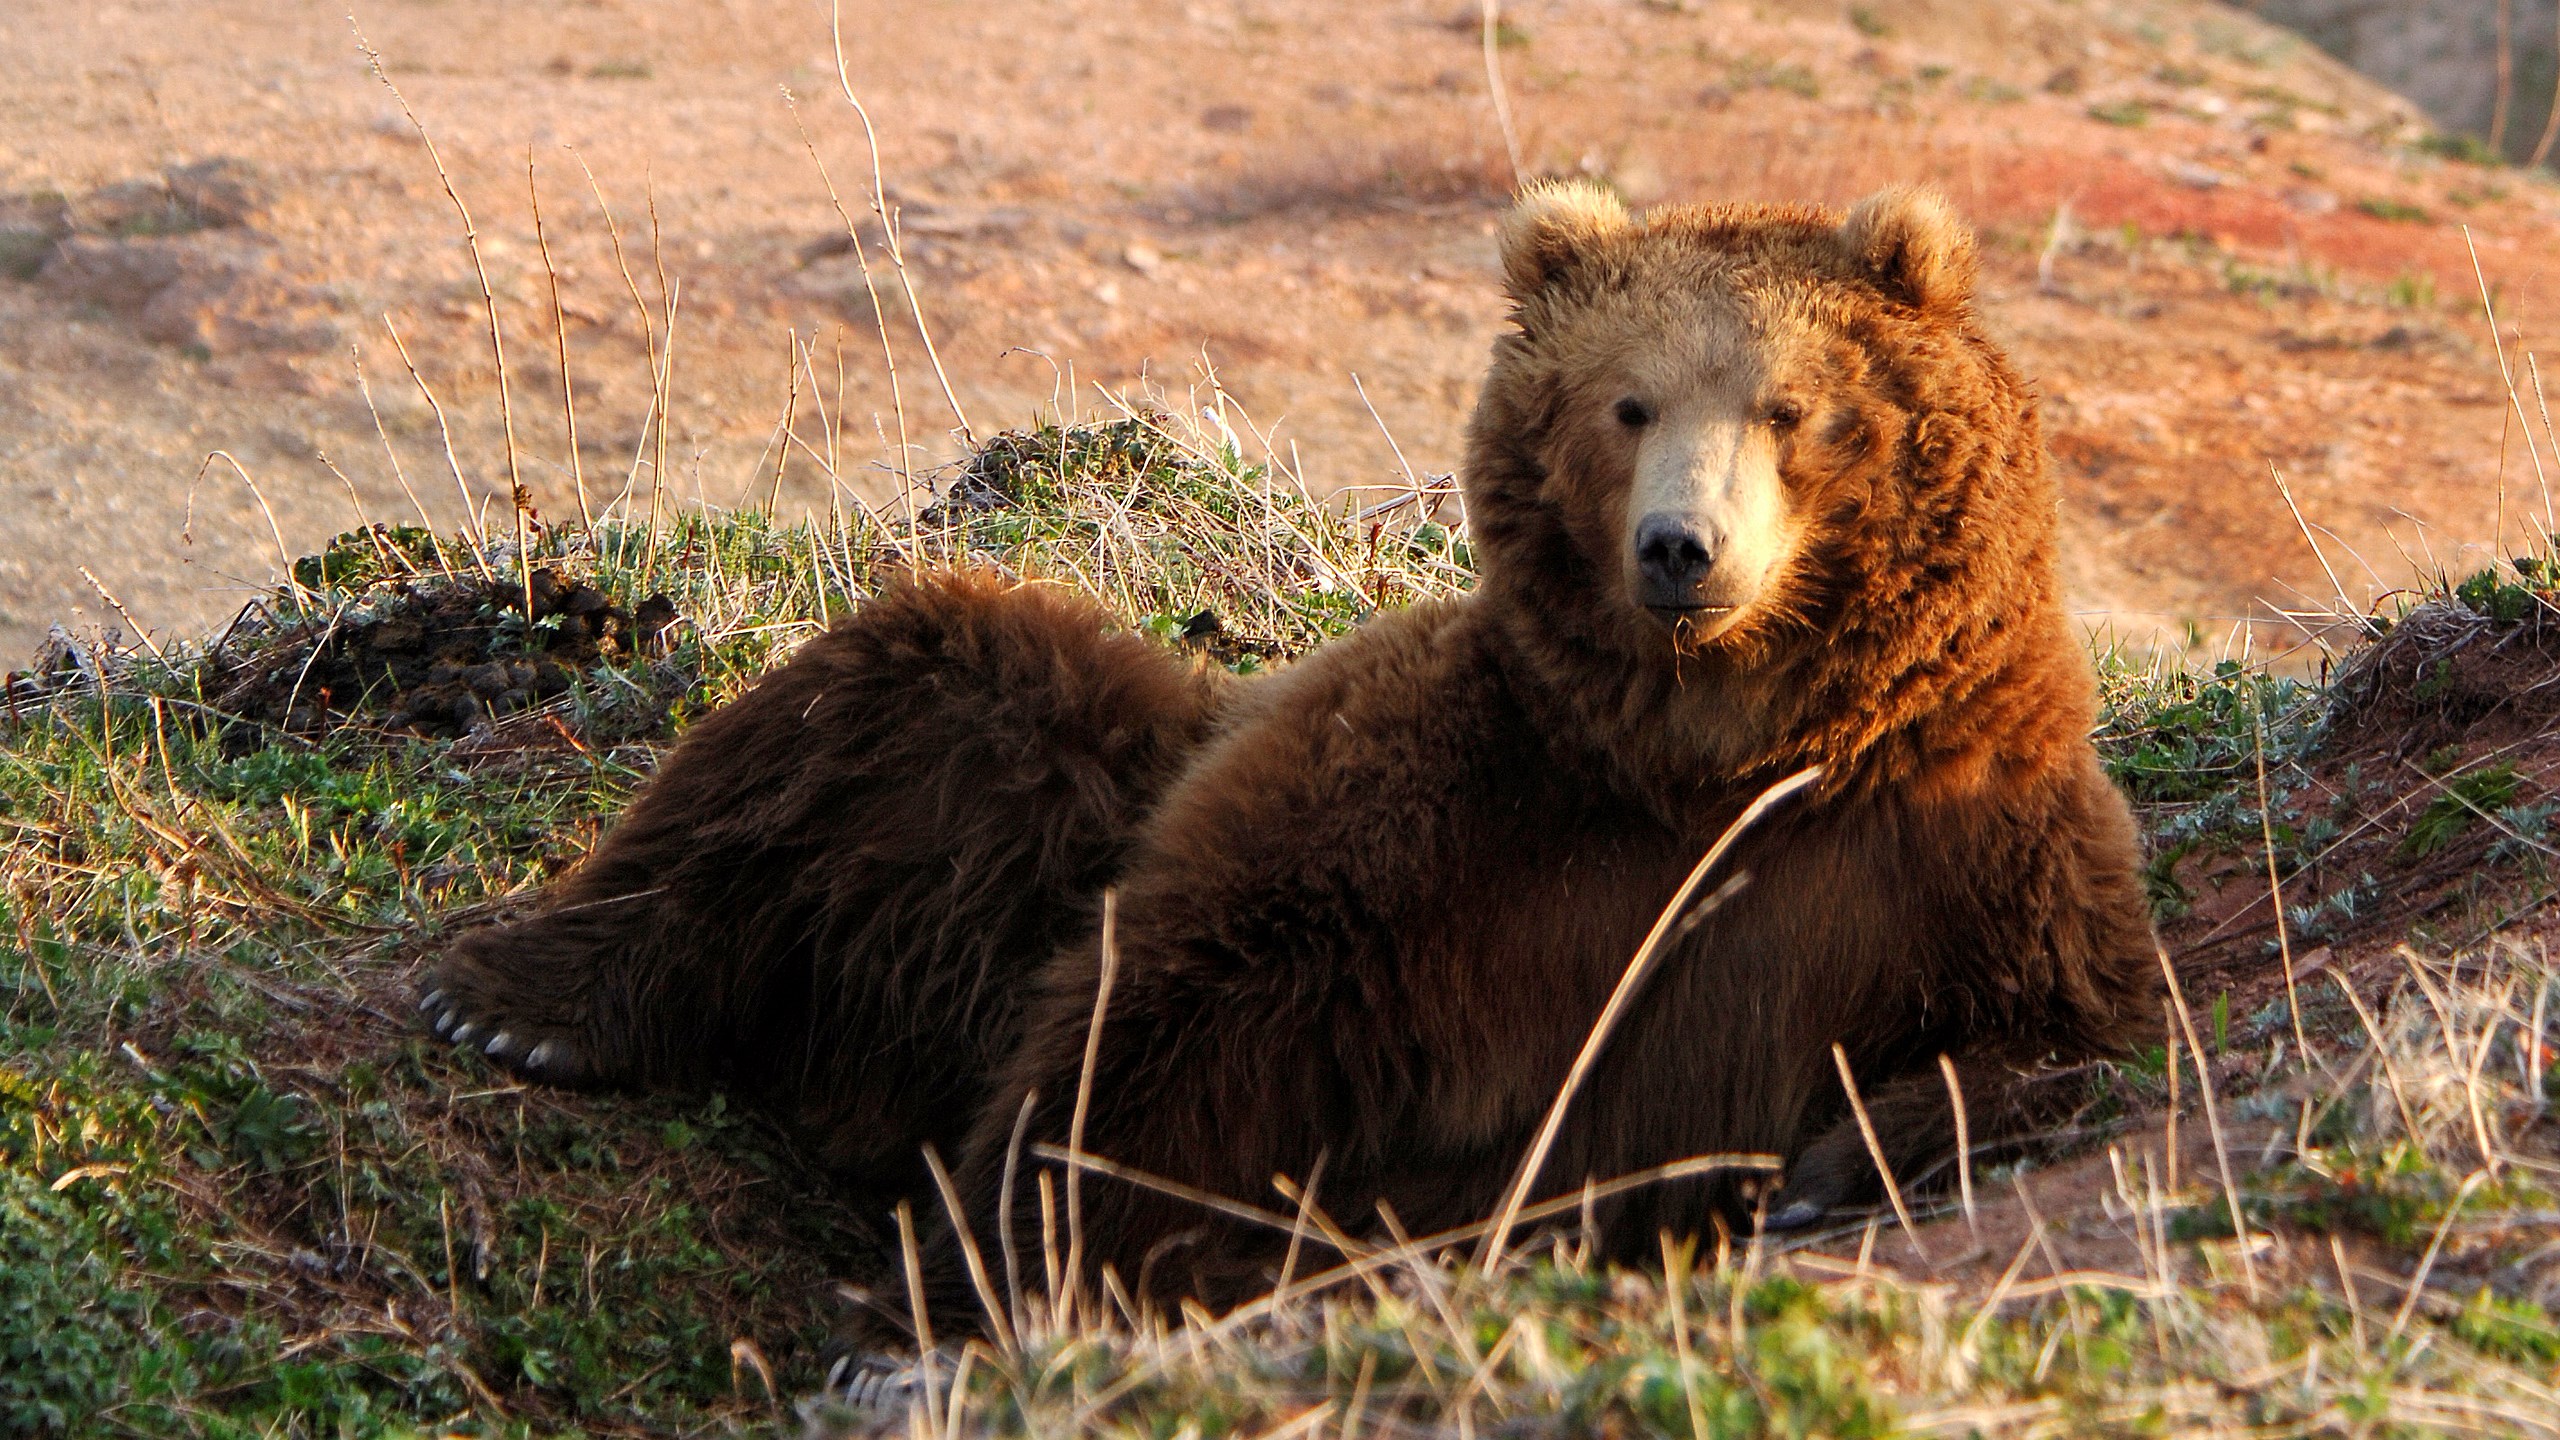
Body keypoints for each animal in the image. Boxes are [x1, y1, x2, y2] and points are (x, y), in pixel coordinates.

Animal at [419, 180, 2161, 1323]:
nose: (1680, 549)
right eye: (1625, 402)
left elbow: (2066, 1028)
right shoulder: (1451, 793)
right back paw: (514, 996)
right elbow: (1201, 988)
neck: (1708, 746)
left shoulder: (1941, 840)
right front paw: (1010, 1259)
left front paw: (1827, 1162)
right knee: (908, 689)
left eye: (1790, 407)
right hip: (1064, 791)